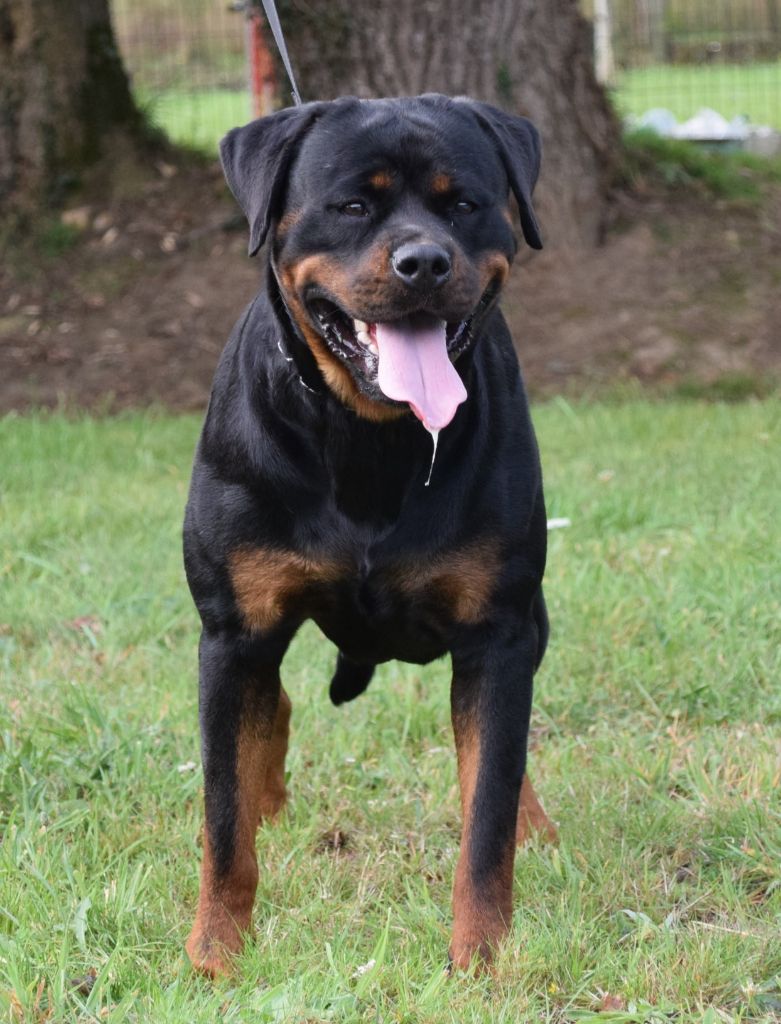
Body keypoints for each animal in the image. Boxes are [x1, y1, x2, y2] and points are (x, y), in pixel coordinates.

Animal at [185, 90, 556, 974]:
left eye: (463, 205)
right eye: (352, 205)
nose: (423, 262)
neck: (370, 438)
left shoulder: (497, 632)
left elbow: (486, 808)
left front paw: (480, 958)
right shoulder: (232, 630)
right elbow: (222, 816)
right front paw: (216, 953)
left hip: (532, 620)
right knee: (266, 713)